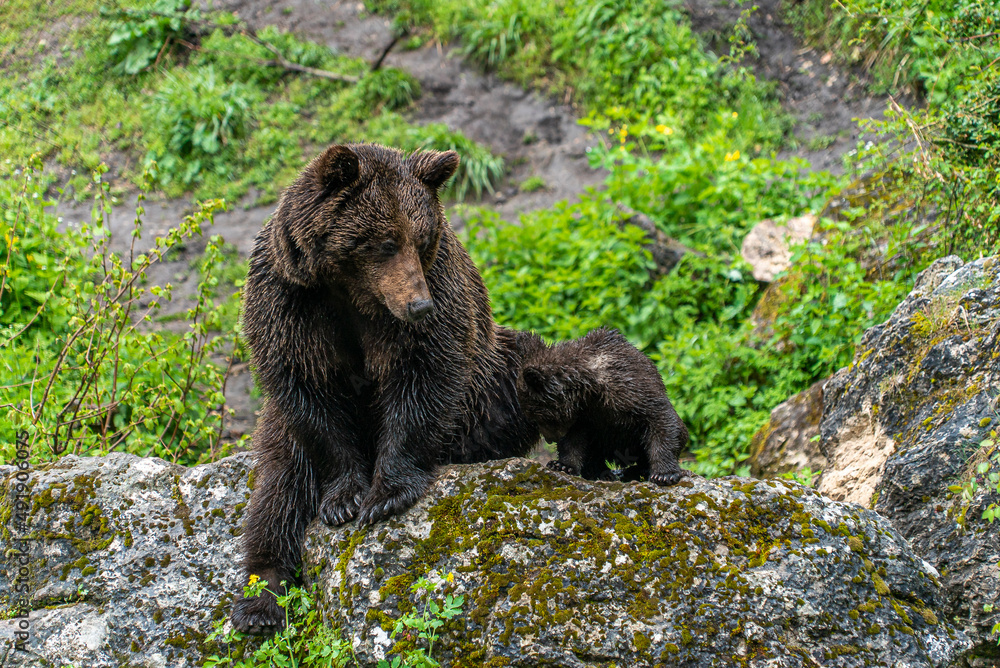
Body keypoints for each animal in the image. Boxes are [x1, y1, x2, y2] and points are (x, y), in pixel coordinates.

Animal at [233, 143, 539, 634]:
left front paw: (385, 495)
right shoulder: (290, 304)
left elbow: (424, 378)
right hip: (279, 429)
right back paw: (260, 600)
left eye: (423, 238)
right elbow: (312, 397)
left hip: (490, 384)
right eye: (384, 242)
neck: (350, 290)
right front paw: (345, 500)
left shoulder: (433, 299)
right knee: (279, 490)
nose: (419, 305)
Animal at [515, 327, 690, 485]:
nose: (549, 439)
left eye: (537, 416)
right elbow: (573, 440)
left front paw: (664, 474)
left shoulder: (633, 390)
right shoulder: (584, 416)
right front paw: (562, 465)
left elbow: (660, 421)